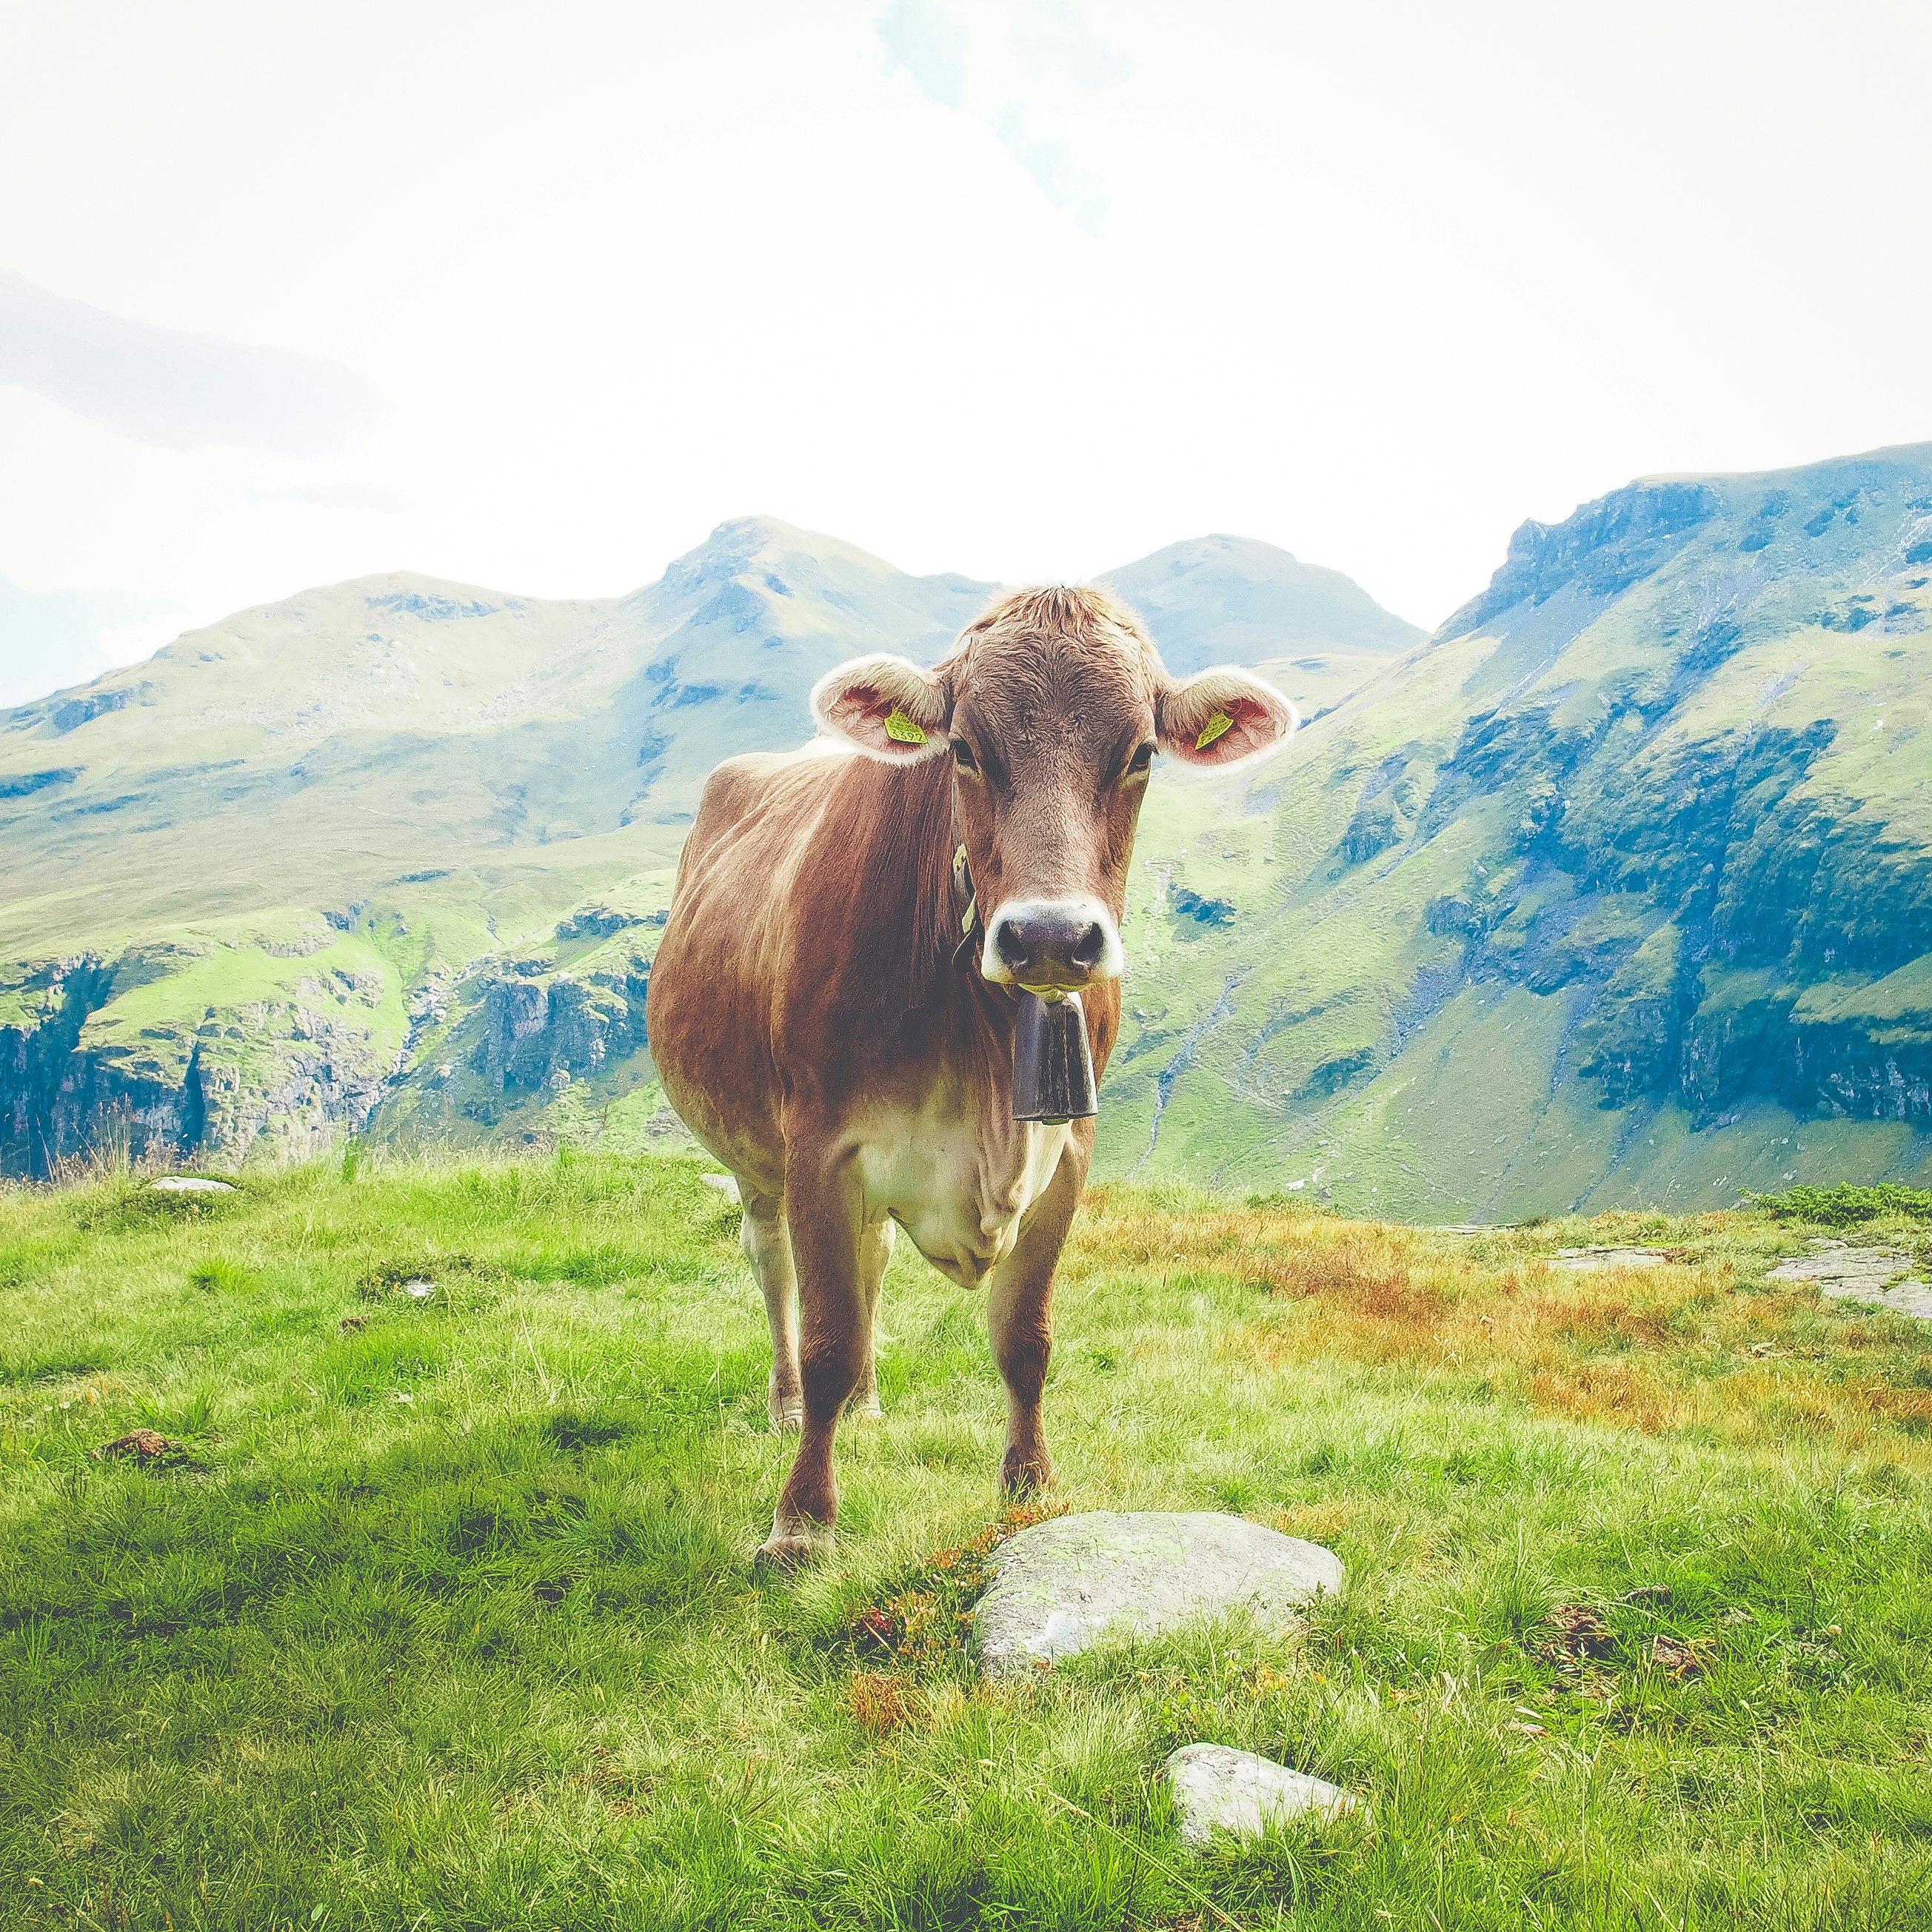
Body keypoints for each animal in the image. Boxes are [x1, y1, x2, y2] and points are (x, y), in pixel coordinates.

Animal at [649, 579, 1298, 1561]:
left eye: (1140, 752)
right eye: (963, 748)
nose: (1050, 937)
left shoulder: (1068, 1150)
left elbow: (1025, 1336)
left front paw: (1028, 1484)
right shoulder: (820, 1145)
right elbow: (828, 1337)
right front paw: (800, 1521)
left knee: (872, 1258)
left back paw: (870, 1401)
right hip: (754, 1155)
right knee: (773, 1268)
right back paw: (790, 1405)